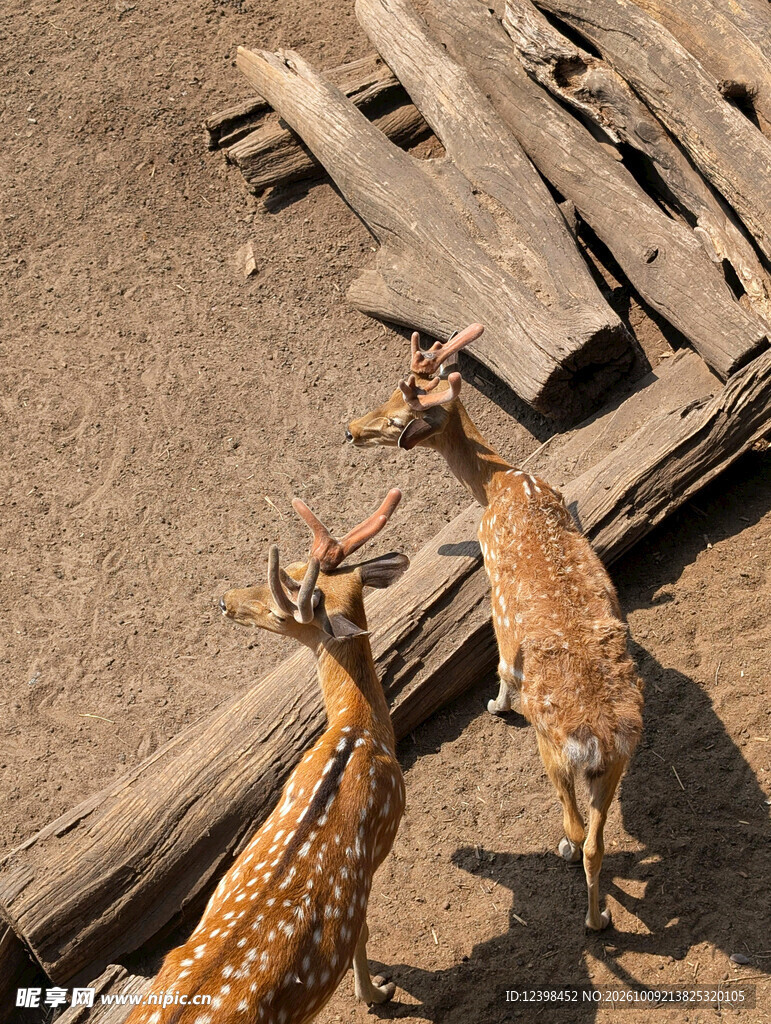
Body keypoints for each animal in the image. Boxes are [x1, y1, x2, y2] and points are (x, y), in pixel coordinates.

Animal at [125, 490, 409, 1024]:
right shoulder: (378, 850)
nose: (225, 599)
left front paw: (376, 990)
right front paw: (378, 992)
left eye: (282, 613)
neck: (360, 733)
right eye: (291, 564)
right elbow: (361, 932)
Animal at [347, 325, 644, 931]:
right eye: (386, 401)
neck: (502, 480)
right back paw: (600, 918)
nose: (350, 429)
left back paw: (576, 886)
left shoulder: (493, 584)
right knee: (598, 842)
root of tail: (600, 741)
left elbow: (503, 663)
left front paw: (496, 703)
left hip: (554, 753)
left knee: (577, 832)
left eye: (395, 417)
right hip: (617, 768)